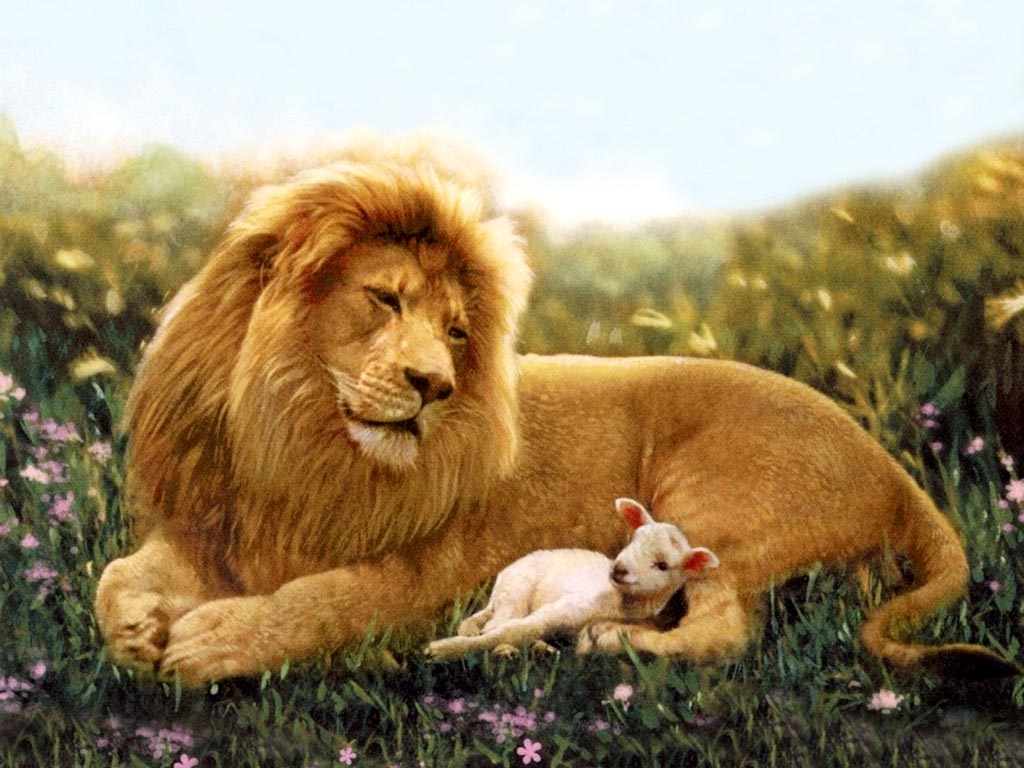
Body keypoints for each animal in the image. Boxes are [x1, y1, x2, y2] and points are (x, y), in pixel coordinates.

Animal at [425, 498, 720, 661]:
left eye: (662, 566)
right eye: (633, 540)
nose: (619, 569)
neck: (617, 603)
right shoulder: (565, 607)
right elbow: (514, 630)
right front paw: (442, 651)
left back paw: (539, 649)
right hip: (516, 590)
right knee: (500, 622)